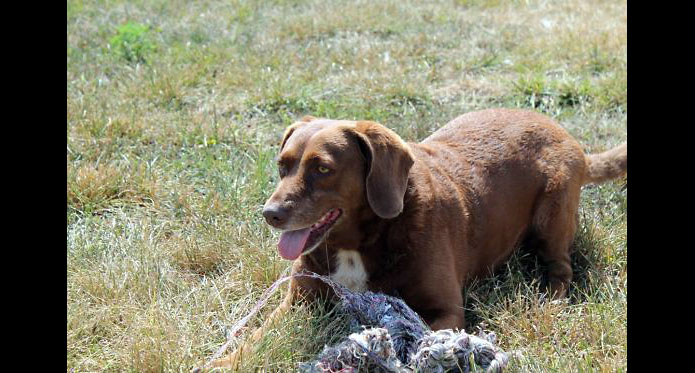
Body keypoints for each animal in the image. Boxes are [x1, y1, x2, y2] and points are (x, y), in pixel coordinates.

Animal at [200, 107, 624, 370]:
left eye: (322, 169)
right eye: (282, 165)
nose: (270, 214)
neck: (359, 242)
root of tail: (572, 141)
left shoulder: (445, 311)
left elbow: (417, 341)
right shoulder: (297, 304)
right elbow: (256, 338)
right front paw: (224, 362)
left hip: (552, 214)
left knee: (562, 267)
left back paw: (549, 299)